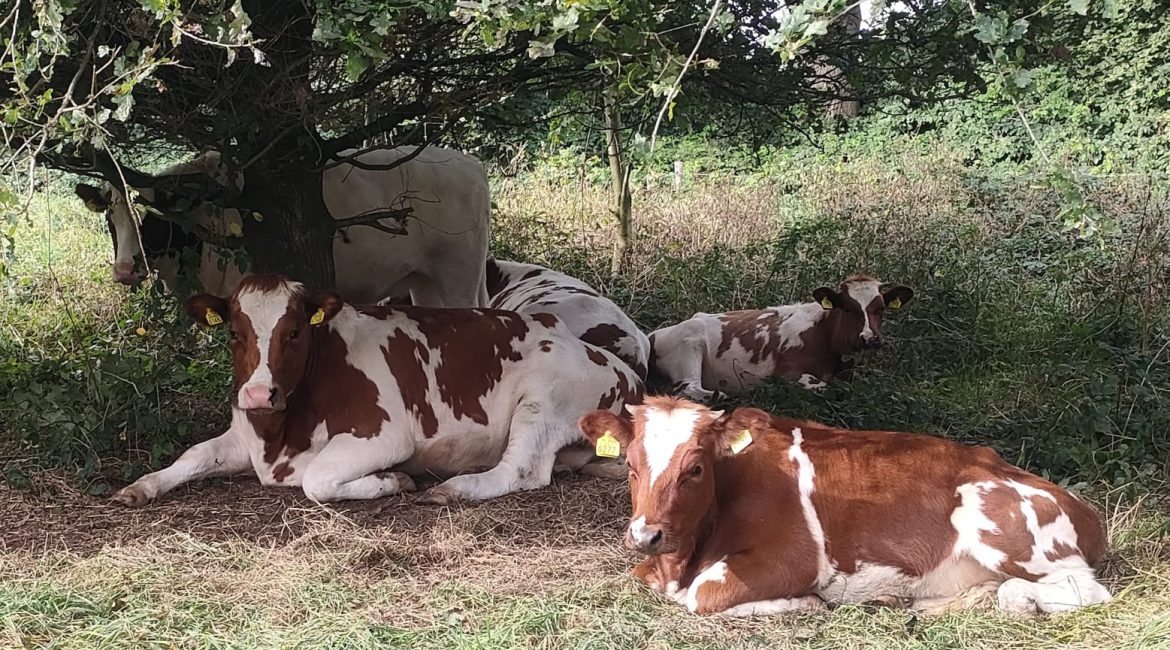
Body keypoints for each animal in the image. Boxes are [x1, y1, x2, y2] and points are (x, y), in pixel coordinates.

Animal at [71, 146, 493, 306]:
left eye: (152, 218)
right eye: (110, 220)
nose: (125, 270)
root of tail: (470, 165)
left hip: (458, 279)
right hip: (425, 283)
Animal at [108, 271, 641, 505]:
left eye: (294, 331)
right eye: (235, 333)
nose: (260, 395)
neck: (281, 434)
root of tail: (624, 370)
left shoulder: (382, 435)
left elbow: (318, 481)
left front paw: (392, 481)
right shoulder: (245, 433)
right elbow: (194, 455)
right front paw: (140, 486)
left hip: (543, 400)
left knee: (522, 470)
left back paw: (453, 489)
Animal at [580, 397, 1109, 617]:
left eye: (695, 468)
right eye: (630, 464)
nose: (645, 535)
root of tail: (1087, 508)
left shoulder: (796, 557)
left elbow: (702, 595)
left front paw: (804, 603)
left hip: (997, 520)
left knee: (1084, 589)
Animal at [650, 275, 912, 402]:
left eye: (881, 309)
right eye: (847, 308)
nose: (870, 338)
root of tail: (655, 333)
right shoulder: (787, 373)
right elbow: (823, 387)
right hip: (689, 344)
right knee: (687, 387)